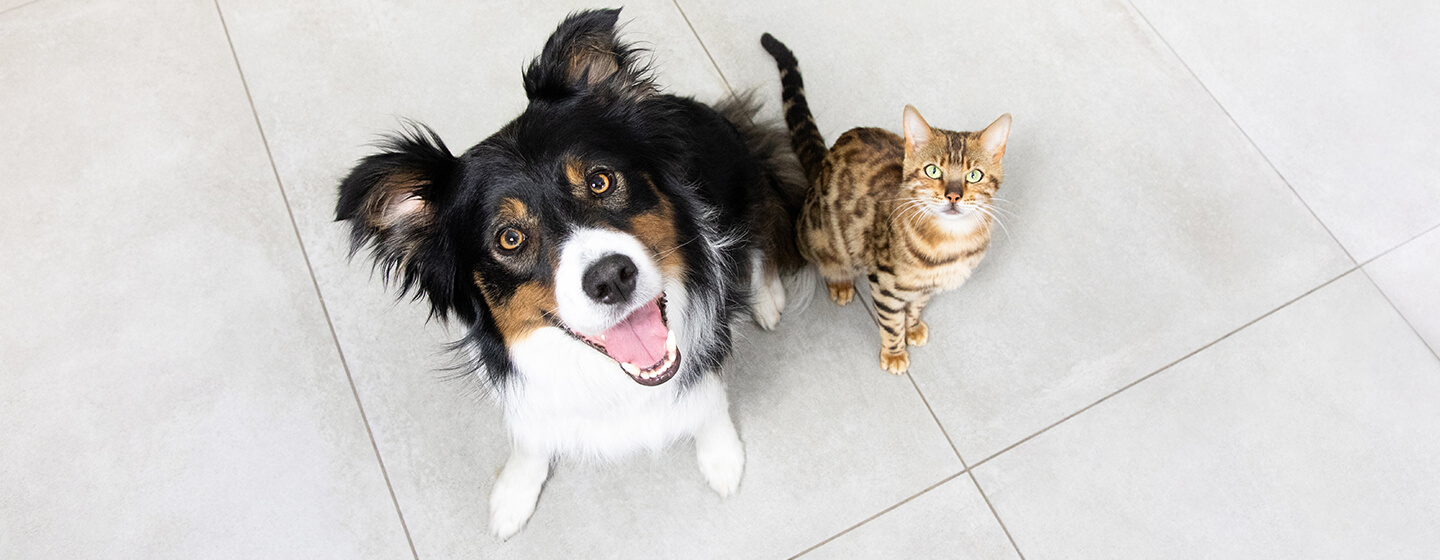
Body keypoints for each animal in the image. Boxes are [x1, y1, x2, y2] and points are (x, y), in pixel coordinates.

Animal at [332, 8, 806, 538]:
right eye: (509, 239)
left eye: (600, 181)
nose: (611, 277)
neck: (612, 379)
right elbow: (530, 436)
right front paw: (514, 492)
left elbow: (707, 399)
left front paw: (721, 456)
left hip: (744, 178)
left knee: (764, 231)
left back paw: (766, 298)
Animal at [766, 34, 1013, 374]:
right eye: (932, 170)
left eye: (974, 175)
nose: (953, 195)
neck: (950, 244)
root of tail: (823, 161)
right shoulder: (885, 283)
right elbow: (891, 322)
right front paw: (895, 353)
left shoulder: (924, 288)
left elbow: (916, 307)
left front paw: (914, 327)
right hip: (818, 236)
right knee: (828, 261)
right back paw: (840, 283)